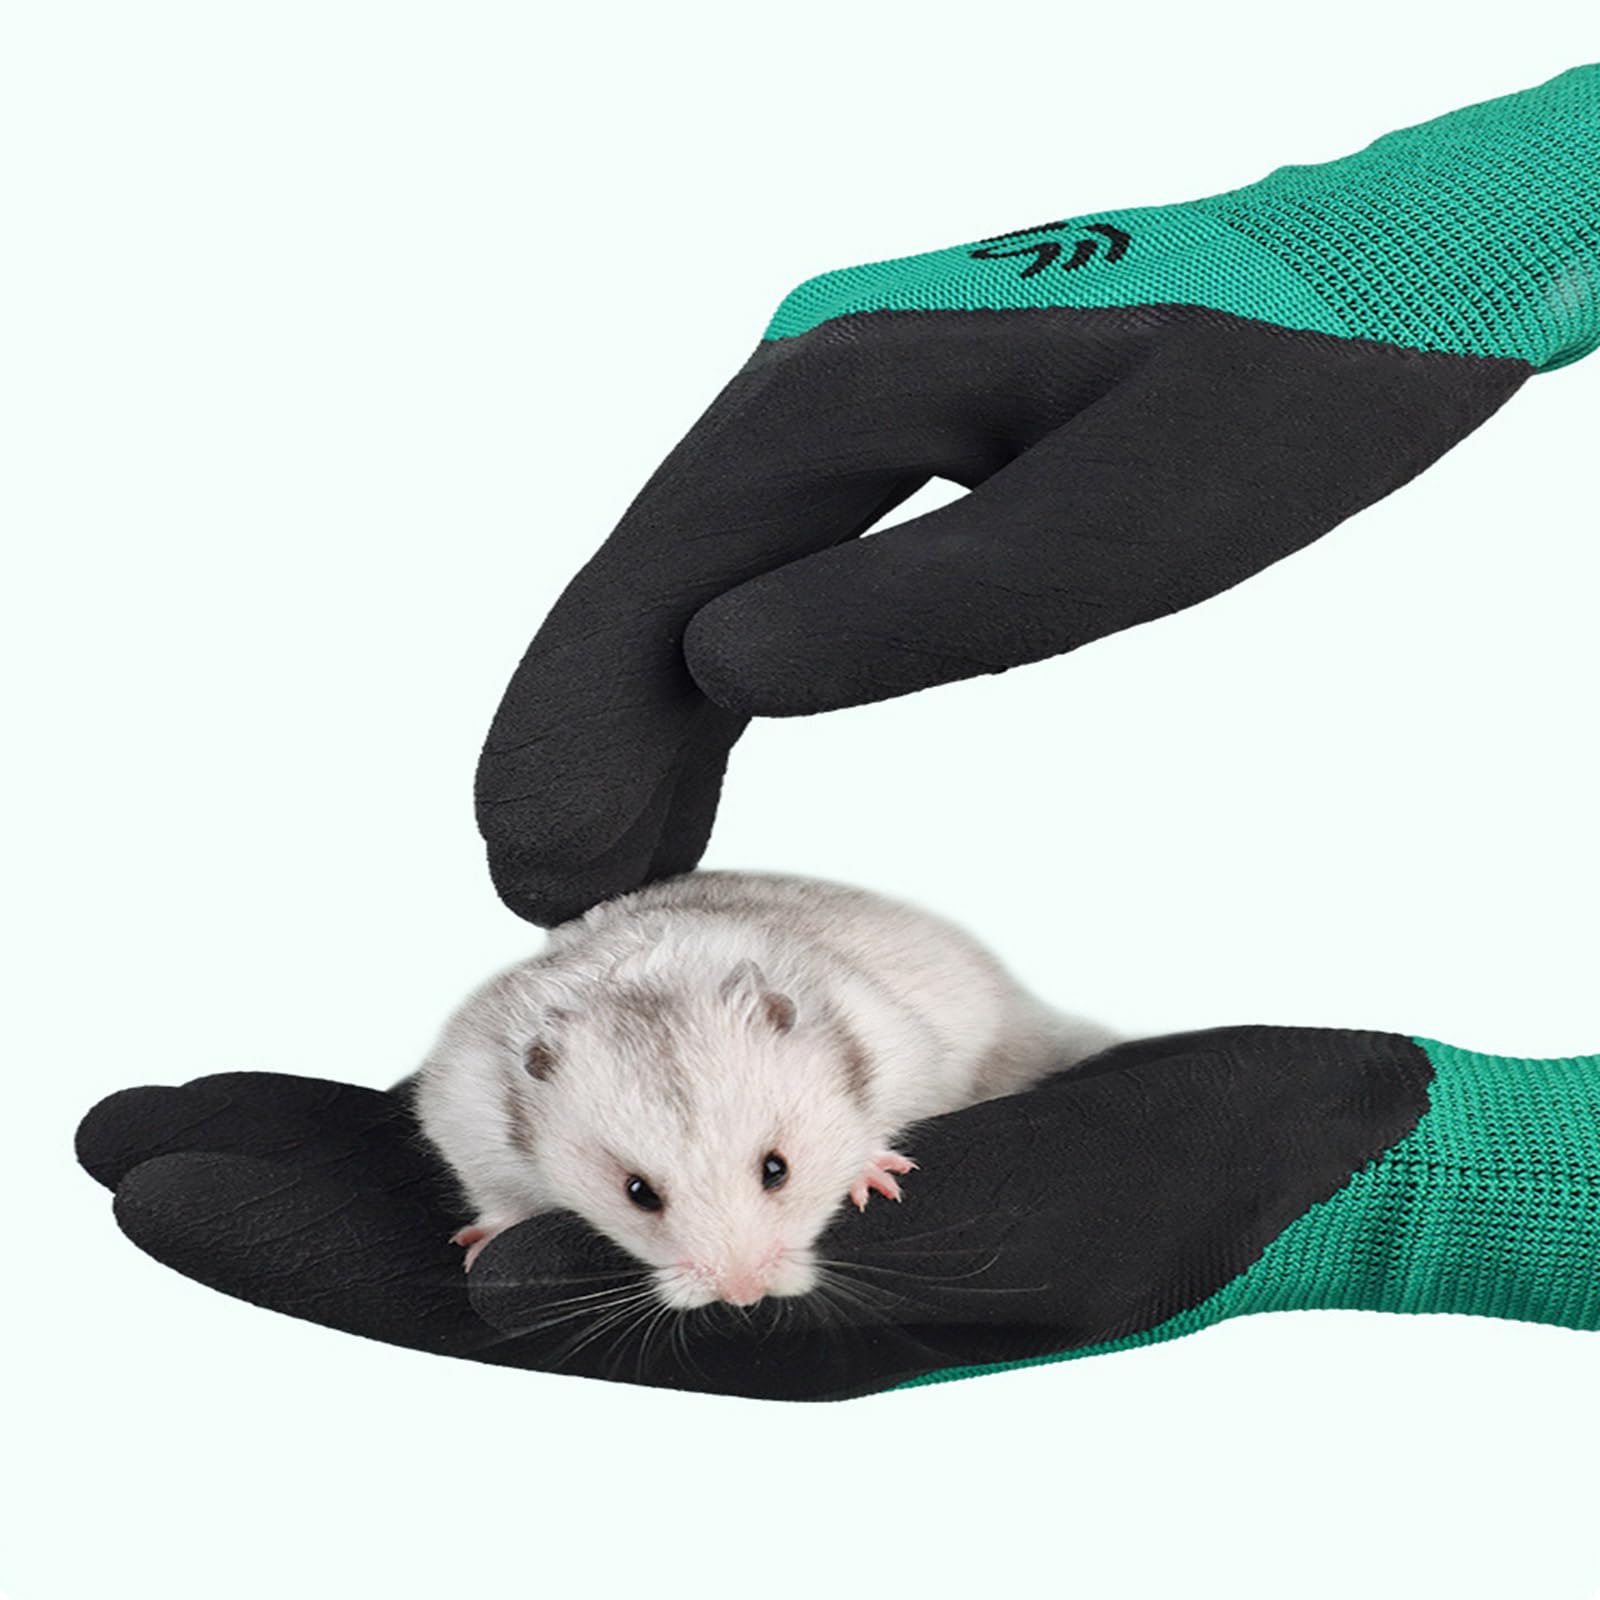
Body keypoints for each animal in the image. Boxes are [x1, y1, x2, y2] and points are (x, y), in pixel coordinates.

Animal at [415, 871, 1116, 1309]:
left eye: (776, 1169)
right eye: (638, 1193)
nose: (743, 1296)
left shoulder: (898, 1045)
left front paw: (875, 1180)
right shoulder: (465, 1117)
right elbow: (497, 1198)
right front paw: (476, 1248)